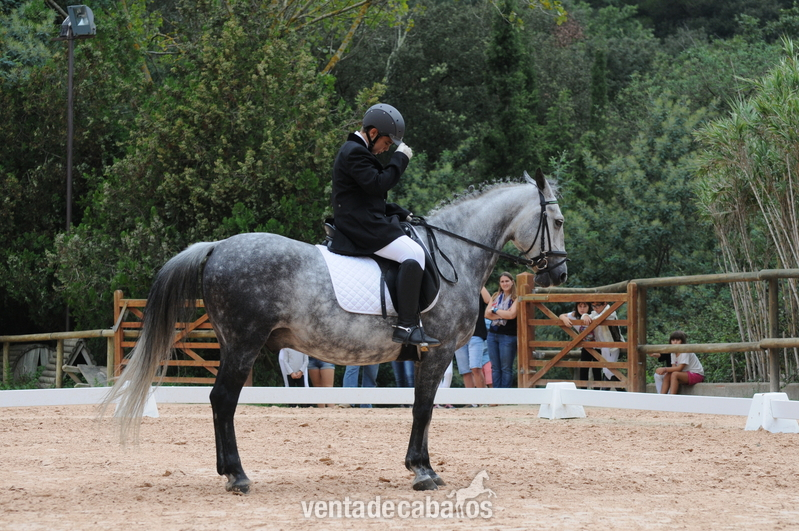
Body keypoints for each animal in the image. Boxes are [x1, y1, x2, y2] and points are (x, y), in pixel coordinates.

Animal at [102, 168, 568, 494]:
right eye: (558, 221)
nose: (560, 273)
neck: (454, 252)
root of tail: (216, 247)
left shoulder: (427, 357)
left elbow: (423, 409)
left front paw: (420, 467)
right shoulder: (435, 353)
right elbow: (423, 409)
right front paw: (423, 471)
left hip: (235, 343)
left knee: (222, 402)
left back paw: (228, 471)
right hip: (243, 344)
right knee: (223, 401)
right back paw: (237, 475)